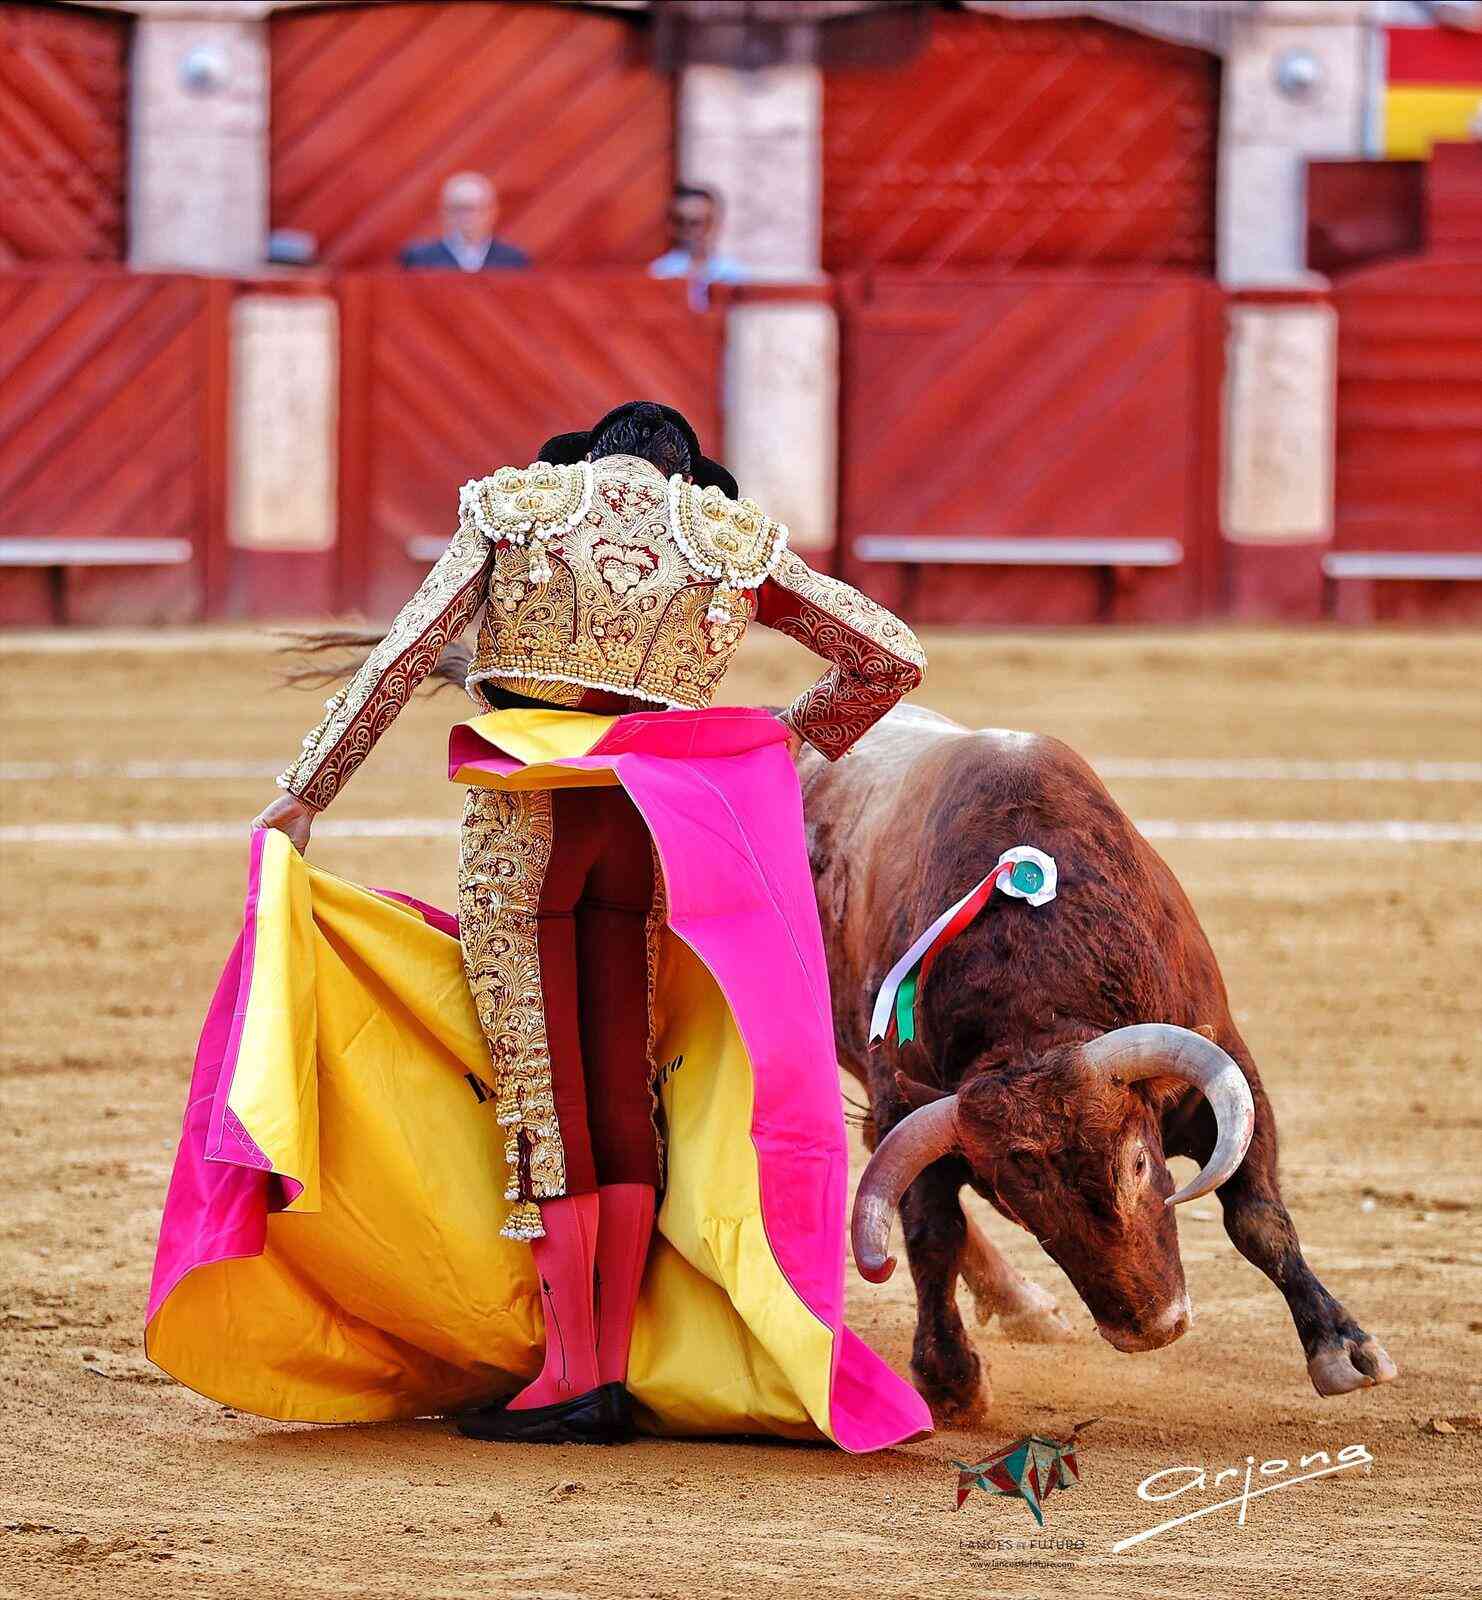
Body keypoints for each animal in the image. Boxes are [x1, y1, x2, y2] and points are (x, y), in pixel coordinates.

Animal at [801, 703, 1397, 1423]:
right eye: (1014, 1200)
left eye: (1139, 1162)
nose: (1151, 1329)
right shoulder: (902, 1103)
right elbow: (931, 1231)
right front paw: (950, 1379)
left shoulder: (1226, 1064)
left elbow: (1258, 1217)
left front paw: (1343, 1348)